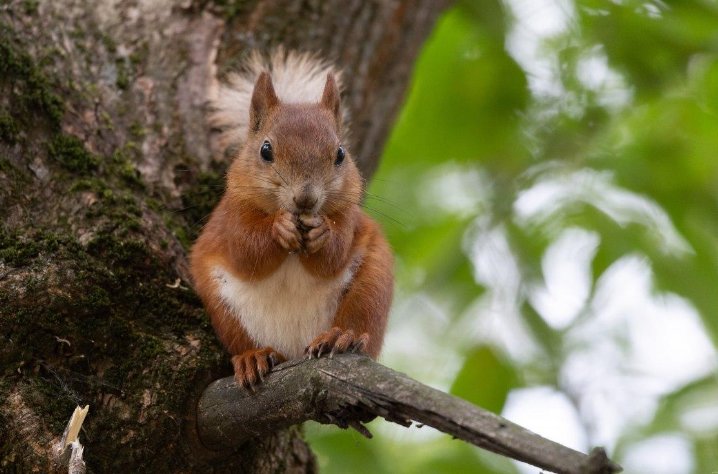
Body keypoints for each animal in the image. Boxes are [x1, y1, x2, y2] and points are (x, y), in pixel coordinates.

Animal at [190, 50, 394, 388]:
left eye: (340, 154)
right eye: (265, 150)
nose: (305, 199)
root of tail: (295, 346)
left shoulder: (349, 218)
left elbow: (334, 253)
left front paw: (322, 233)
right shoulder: (230, 217)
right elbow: (246, 251)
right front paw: (279, 229)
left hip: (372, 285)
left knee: (359, 318)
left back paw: (340, 336)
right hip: (222, 307)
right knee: (244, 340)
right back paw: (254, 357)